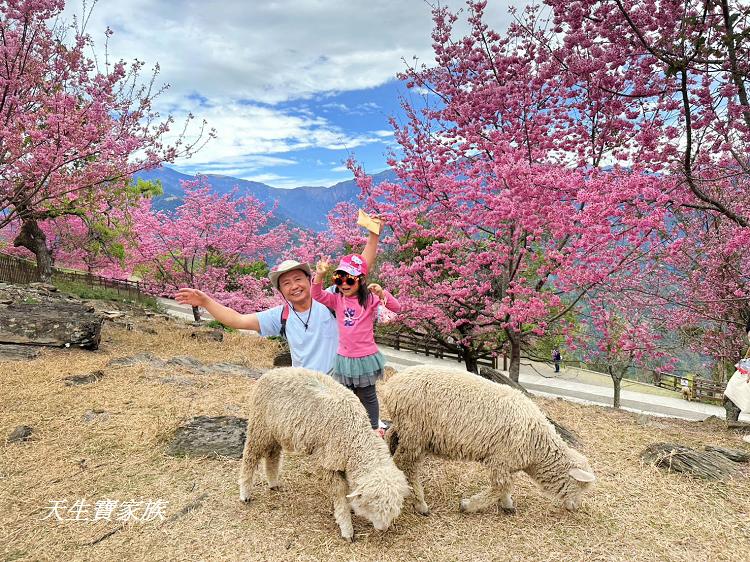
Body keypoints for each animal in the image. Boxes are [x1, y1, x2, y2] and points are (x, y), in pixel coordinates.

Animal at [238, 366, 412, 540]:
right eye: (372, 506)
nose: (382, 529)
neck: (354, 434)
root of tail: (271, 372)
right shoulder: (330, 462)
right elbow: (339, 493)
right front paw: (346, 527)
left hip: (277, 431)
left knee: (272, 456)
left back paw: (273, 483)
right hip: (260, 427)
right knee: (250, 457)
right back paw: (245, 493)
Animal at [382, 366, 600, 516]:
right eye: (580, 487)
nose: (575, 507)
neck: (536, 446)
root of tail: (392, 385)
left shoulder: (507, 463)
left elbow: (504, 487)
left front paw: (507, 504)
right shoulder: (501, 460)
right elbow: (501, 486)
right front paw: (468, 505)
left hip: (407, 429)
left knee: (391, 440)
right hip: (415, 431)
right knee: (407, 465)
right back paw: (420, 504)